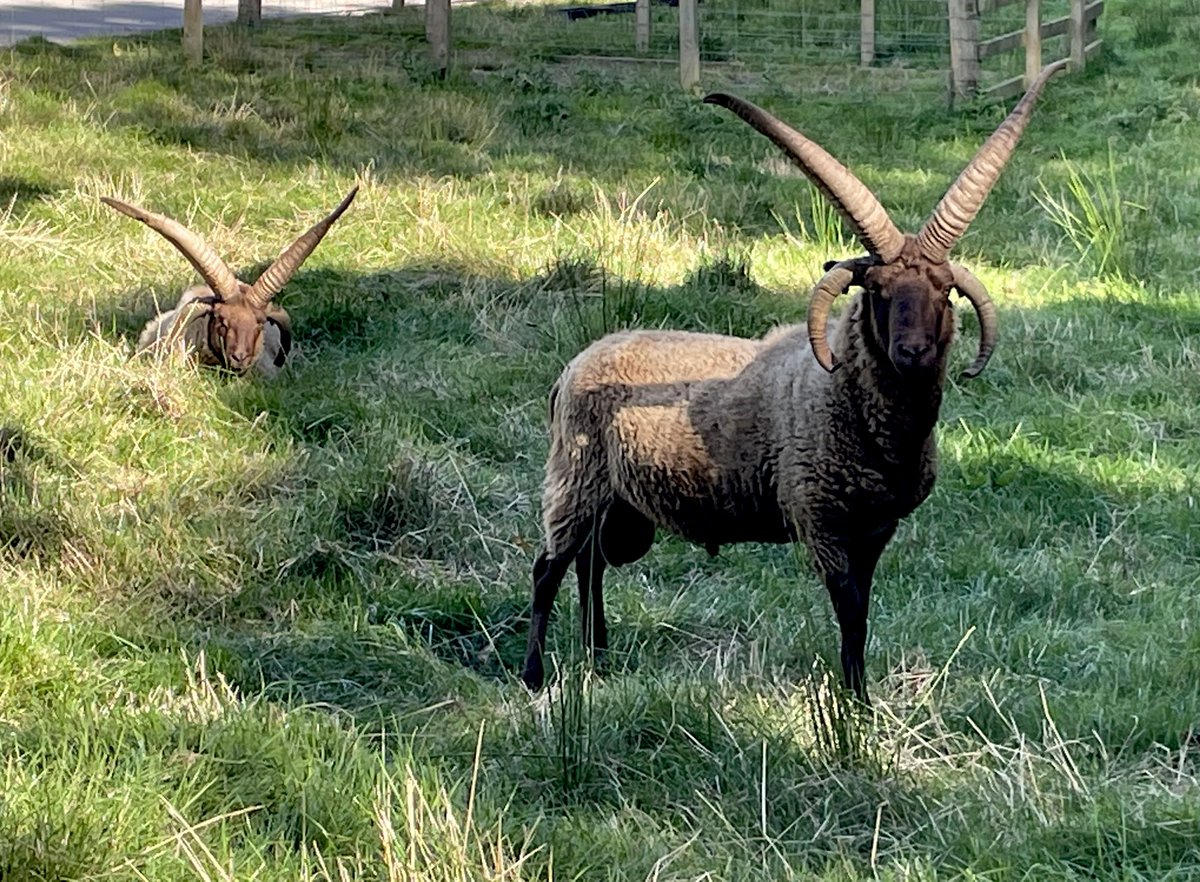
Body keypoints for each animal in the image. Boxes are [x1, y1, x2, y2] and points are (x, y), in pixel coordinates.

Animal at [521, 62, 1066, 702]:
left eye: (942, 291)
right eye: (877, 291)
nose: (912, 352)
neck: (851, 407)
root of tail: (573, 368)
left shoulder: (875, 529)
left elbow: (863, 612)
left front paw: (858, 695)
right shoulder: (821, 519)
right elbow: (850, 612)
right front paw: (854, 706)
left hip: (614, 502)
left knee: (589, 564)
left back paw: (597, 655)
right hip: (574, 478)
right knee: (549, 566)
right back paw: (534, 674)